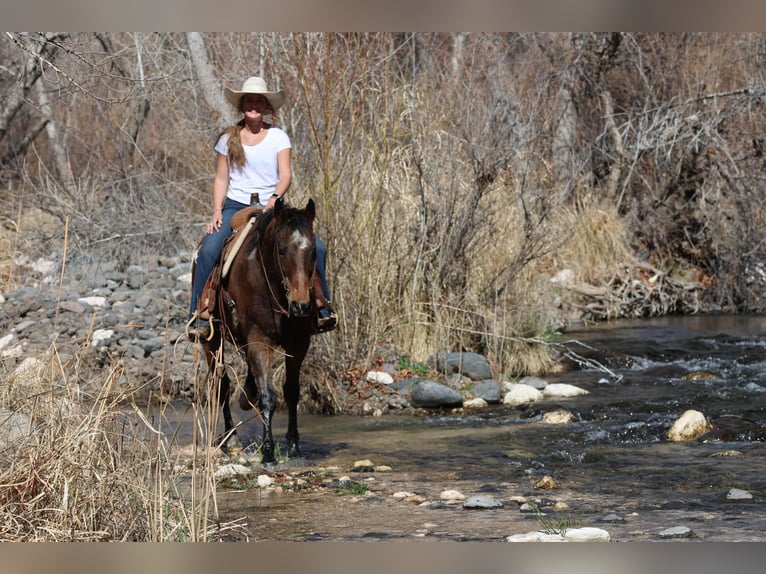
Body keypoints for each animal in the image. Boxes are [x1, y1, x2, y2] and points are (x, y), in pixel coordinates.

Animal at [198, 198, 319, 463]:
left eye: (314, 251)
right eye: (282, 250)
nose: (301, 305)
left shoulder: (299, 342)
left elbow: (291, 391)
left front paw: (293, 446)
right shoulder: (258, 340)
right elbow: (267, 396)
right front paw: (268, 452)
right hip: (212, 341)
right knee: (222, 384)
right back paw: (231, 439)